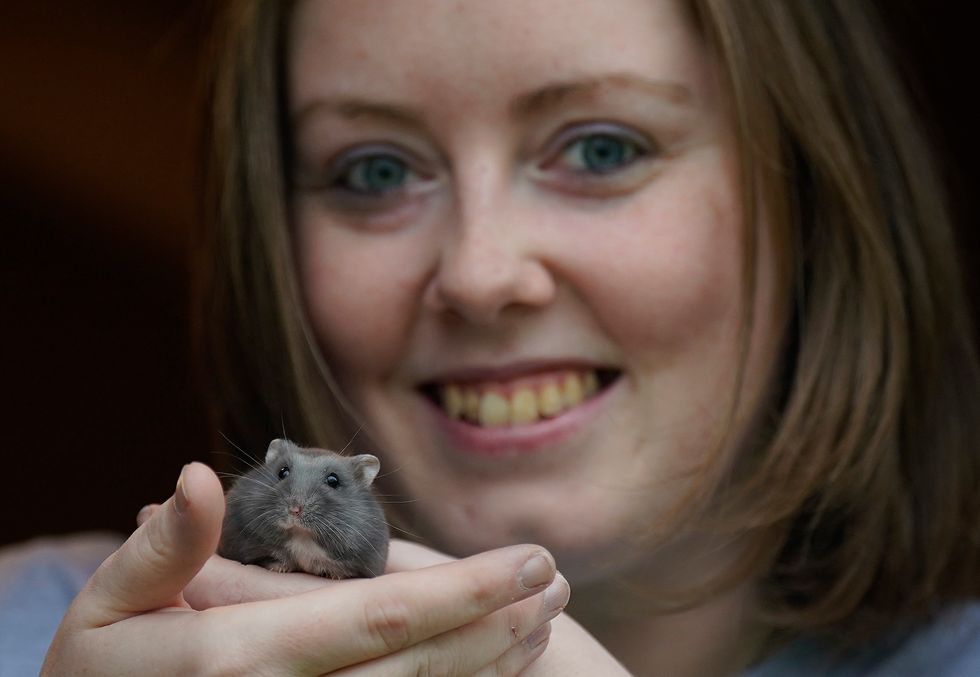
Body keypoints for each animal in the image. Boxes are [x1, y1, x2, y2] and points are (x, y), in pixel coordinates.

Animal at [218, 438, 389, 578]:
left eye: (333, 480)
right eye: (282, 472)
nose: (294, 510)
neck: (301, 535)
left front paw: (334, 576)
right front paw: (278, 568)